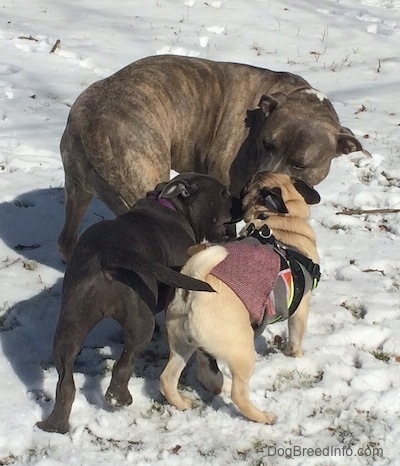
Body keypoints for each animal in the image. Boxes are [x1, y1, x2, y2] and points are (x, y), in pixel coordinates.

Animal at [37, 173, 233, 436]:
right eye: (222, 193)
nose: (237, 201)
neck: (172, 206)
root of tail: (108, 254)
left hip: (71, 322)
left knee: (65, 379)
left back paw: (55, 424)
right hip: (141, 320)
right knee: (125, 361)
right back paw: (119, 397)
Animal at [57, 54, 364, 262]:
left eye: (299, 164)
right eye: (266, 144)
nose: (263, 181)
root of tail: (86, 120)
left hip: (79, 188)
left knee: (66, 239)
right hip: (142, 176)